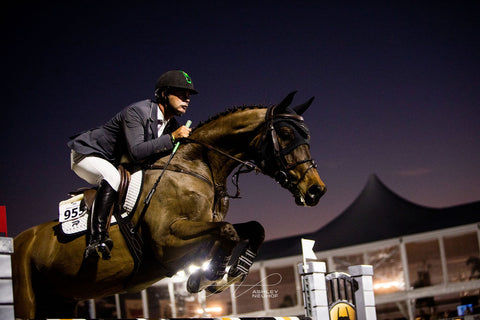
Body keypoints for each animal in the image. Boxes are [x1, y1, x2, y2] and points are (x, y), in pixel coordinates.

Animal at [12, 91, 326, 318]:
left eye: (307, 135)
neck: (196, 165)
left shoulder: (205, 225)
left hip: (62, 300)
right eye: (286, 135)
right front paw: (210, 276)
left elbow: (249, 228)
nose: (316, 191)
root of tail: (19, 239)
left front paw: (227, 272)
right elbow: (227, 231)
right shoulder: (166, 240)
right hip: (27, 296)